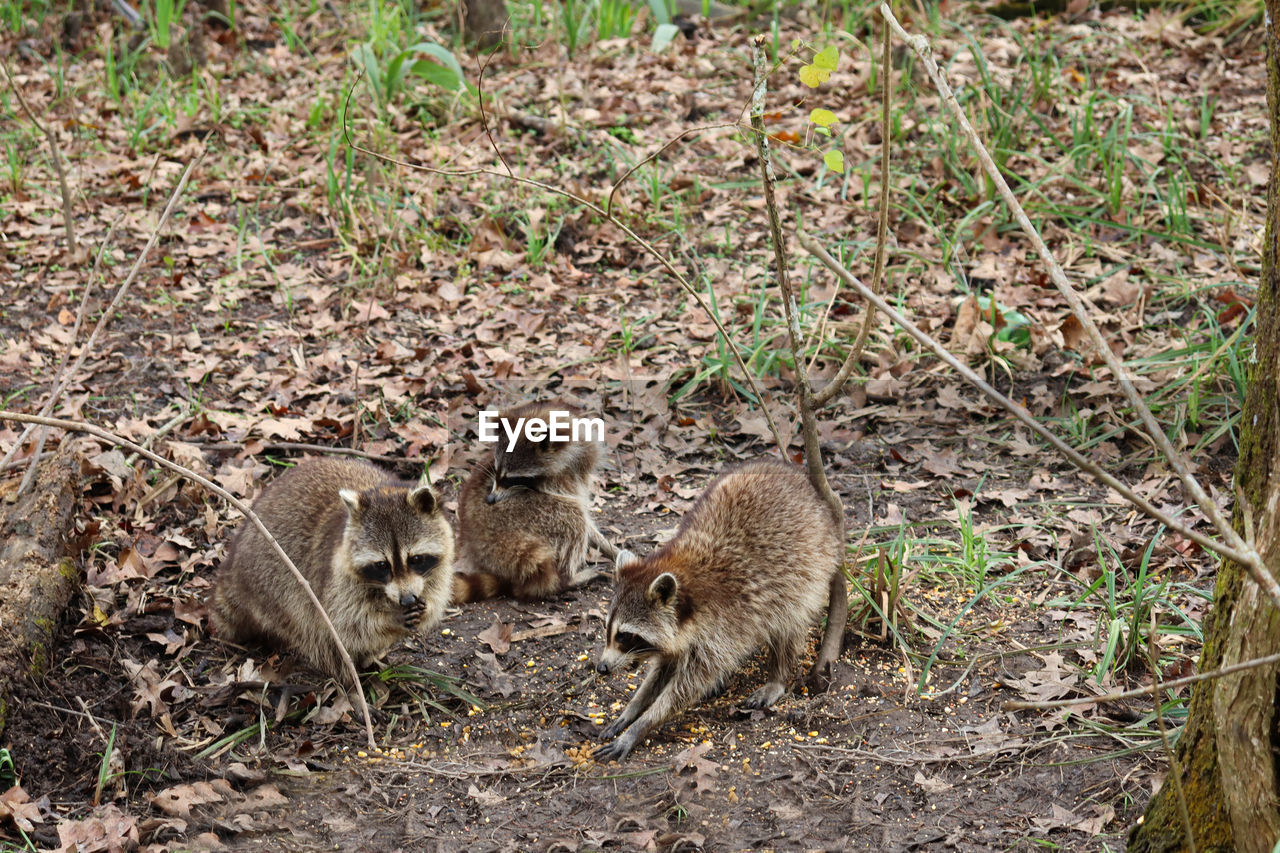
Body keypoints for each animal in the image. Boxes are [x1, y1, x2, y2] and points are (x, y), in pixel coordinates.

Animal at [207, 458, 453, 676]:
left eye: (416, 559)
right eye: (382, 565)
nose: (407, 600)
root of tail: (232, 569)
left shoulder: (438, 570)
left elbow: (435, 596)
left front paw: (427, 608)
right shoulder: (334, 578)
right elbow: (347, 624)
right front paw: (389, 619)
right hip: (270, 582)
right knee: (315, 631)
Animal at [453, 399, 616, 604]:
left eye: (512, 479)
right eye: (497, 472)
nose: (489, 499)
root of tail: (477, 541)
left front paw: (607, 544)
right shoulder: (562, 481)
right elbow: (578, 508)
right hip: (521, 516)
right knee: (573, 516)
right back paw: (564, 581)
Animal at [591, 461, 849, 758]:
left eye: (625, 636)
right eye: (608, 630)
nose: (602, 668)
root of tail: (802, 479)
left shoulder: (721, 628)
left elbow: (686, 687)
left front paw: (641, 725)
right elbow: (663, 670)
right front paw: (633, 708)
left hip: (811, 568)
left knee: (788, 625)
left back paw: (778, 677)